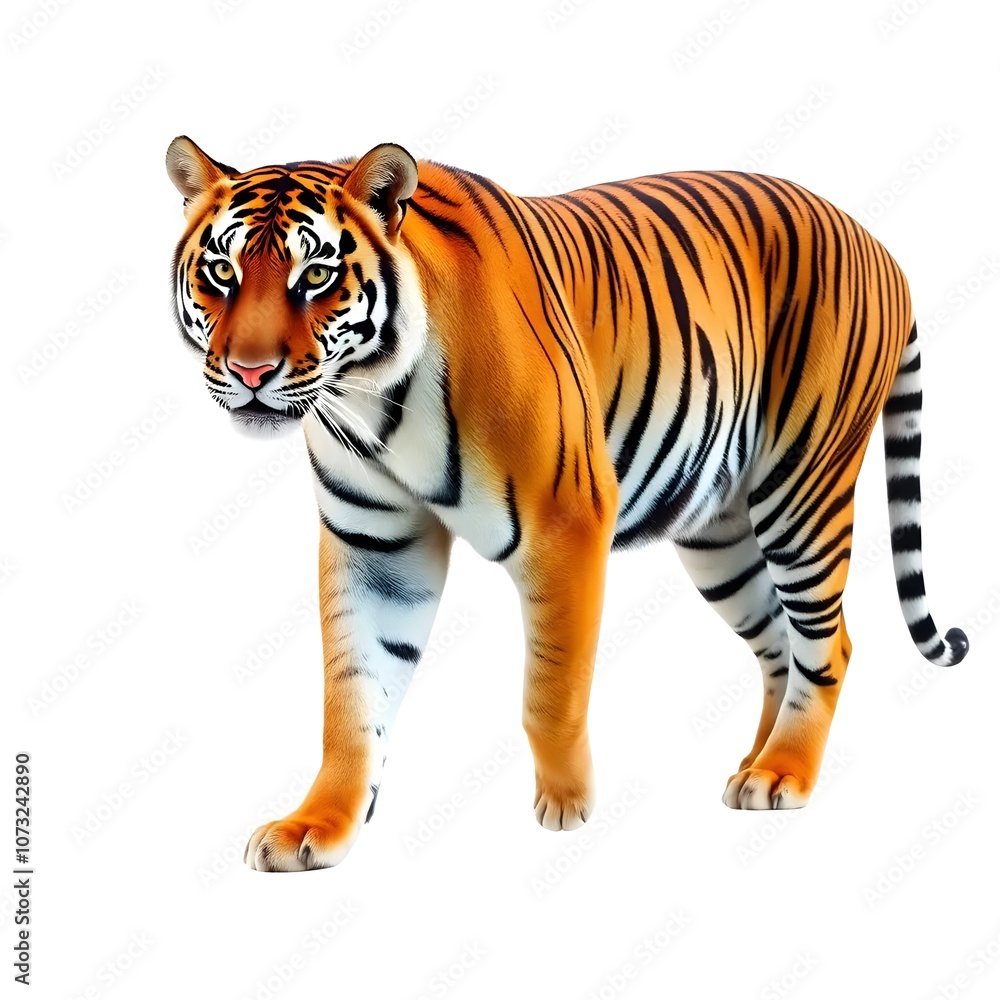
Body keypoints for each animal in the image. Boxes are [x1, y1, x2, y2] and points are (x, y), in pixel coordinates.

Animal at [166, 136, 968, 872]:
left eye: (317, 276)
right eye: (222, 271)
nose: (250, 372)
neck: (373, 398)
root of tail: (878, 244)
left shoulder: (566, 525)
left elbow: (549, 693)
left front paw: (567, 805)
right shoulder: (373, 547)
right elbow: (352, 697)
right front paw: (318, 826)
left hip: (802, 490)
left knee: (829, 643)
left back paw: (784, 773)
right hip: (722, 535)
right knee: (779, 643)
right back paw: (754, 764)